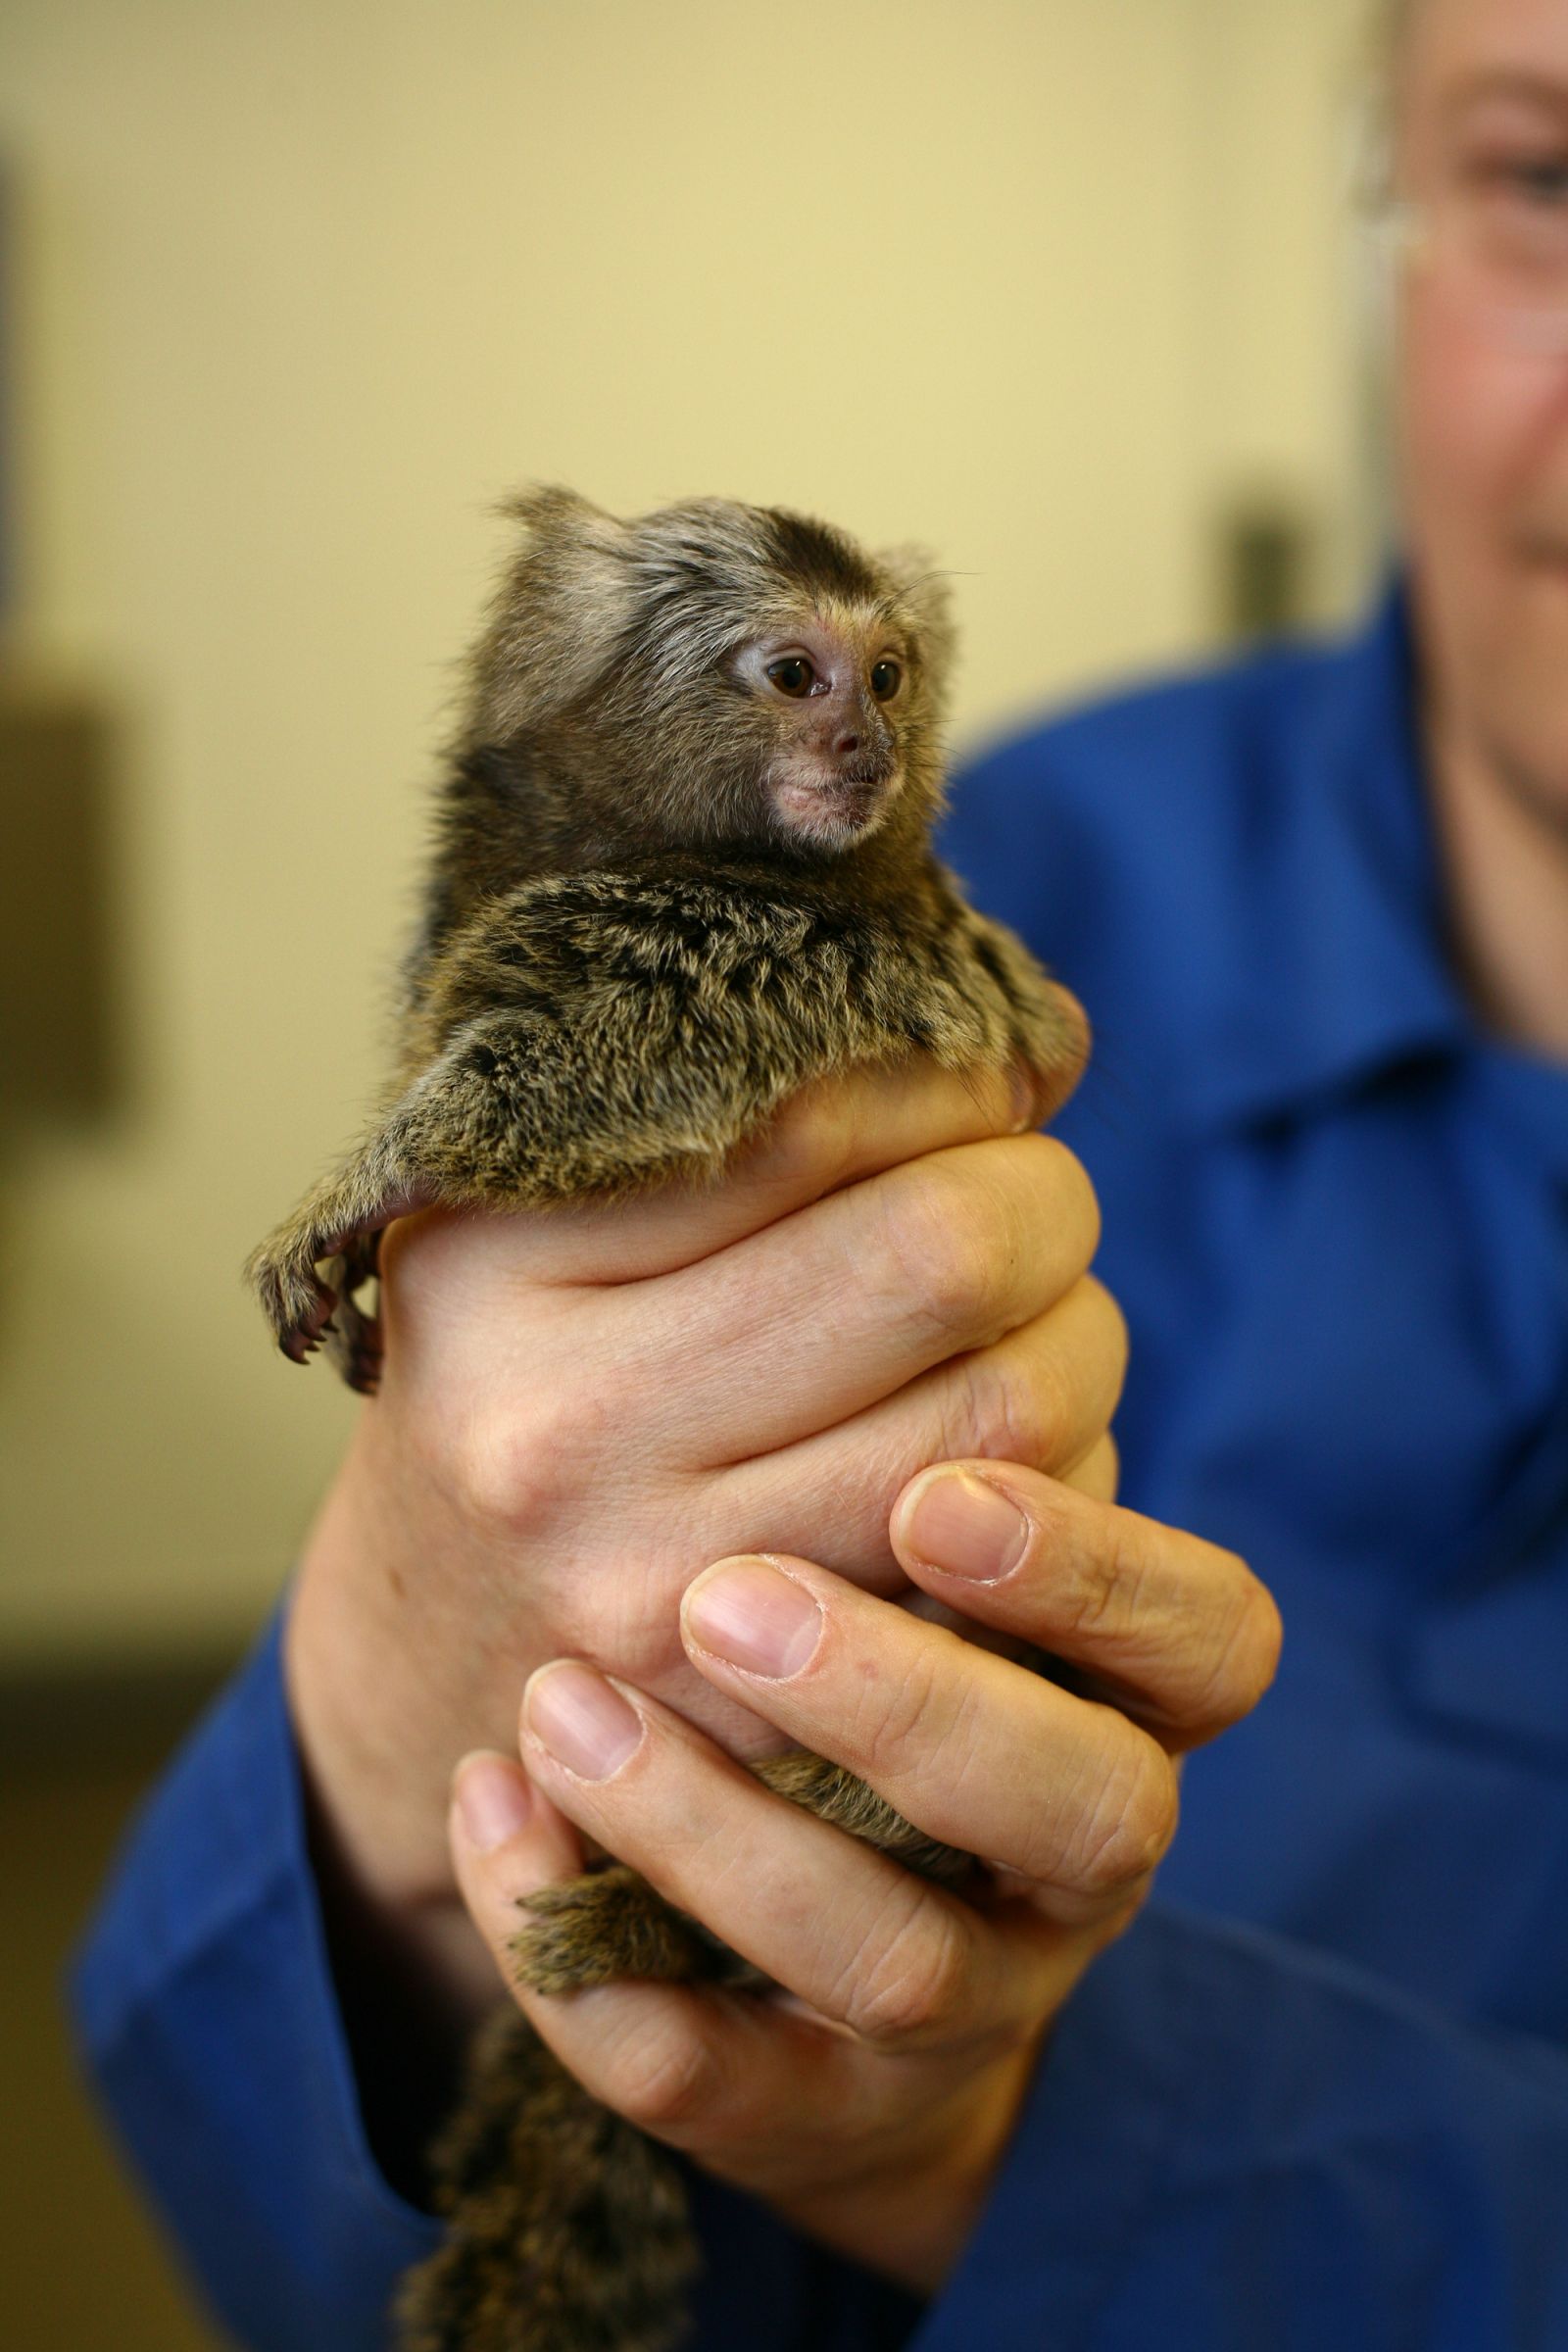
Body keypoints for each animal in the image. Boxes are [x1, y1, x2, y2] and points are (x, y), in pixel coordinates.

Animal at [245, 482, 1086, 2352]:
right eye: (791, 675)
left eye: (889, 673)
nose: (863, 744)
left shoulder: (784, 952)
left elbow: (607, 1061)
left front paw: (366, 1184)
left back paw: (658, 1929)